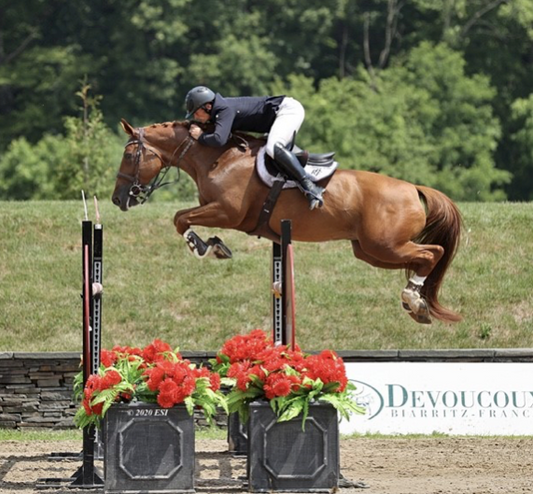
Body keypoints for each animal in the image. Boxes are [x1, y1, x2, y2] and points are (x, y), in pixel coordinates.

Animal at [113, 118, 462, 324]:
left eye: (129, 156)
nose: (117, 199)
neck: (217, 158)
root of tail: (413, 188)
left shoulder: (227, 212)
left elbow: (179, 218)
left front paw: (204, 246)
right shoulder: (217, 210)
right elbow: (183, 218)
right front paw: (212, 245)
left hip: (385, 245)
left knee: (432, 253)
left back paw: (414, 299)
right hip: (370, 251)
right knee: (423, 257)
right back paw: (416, 301)